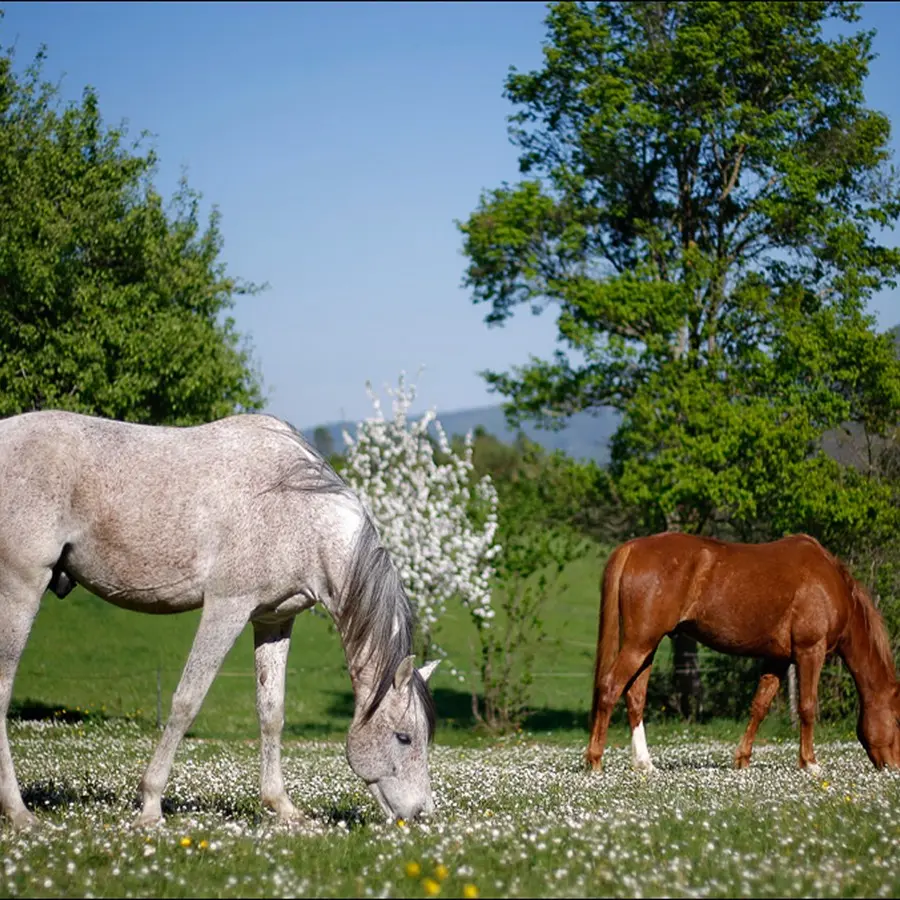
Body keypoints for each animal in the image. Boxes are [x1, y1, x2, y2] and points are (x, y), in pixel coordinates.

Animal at [0, 410, 439, 830]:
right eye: (404, 737)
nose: (420, 813)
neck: (298, 511)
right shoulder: (227, 608)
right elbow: (187, 701)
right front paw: (150, 805)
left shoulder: (274, 621)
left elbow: (271, 711)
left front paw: (282, 806)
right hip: (21, 587)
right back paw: (20, 813)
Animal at [585, 532, 900, 775]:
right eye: (898, 719)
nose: (894, 767)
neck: (829, 583)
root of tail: (632, 548)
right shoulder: (811, 651)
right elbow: (808, 707)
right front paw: (810, 763)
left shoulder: (778, 659)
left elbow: (759, 706)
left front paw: (742, 759)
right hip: (639, 644)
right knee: (610, 688)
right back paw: (595, 761)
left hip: (646, 647)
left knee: (634, 697)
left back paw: (645, 764)